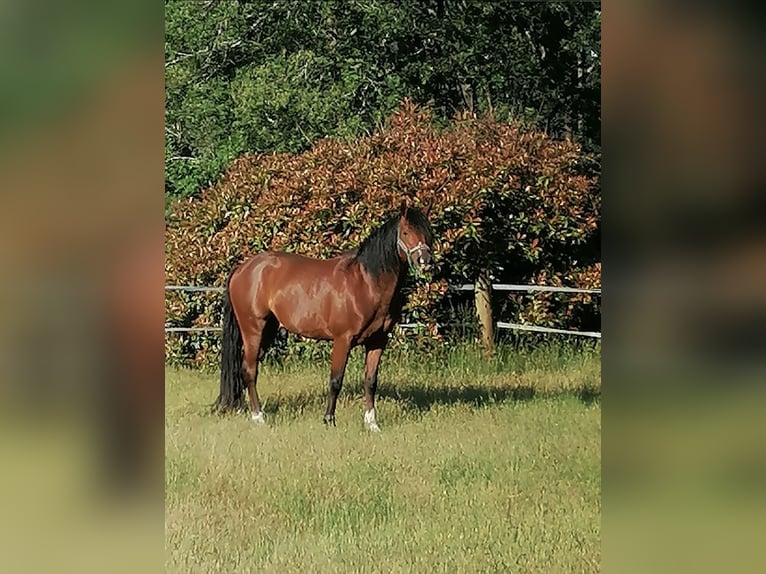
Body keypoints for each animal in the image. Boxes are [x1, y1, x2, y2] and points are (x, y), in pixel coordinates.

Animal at [213, 200, 434, 431]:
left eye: (428, 232)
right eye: (406, 232)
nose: (425, 261)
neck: (365, 283)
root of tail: (242, 268)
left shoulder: (377, 341)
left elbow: (371, 381)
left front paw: (372, 424)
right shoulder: (343, 340)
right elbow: (336, 381)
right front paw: (329, 419)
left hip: (268, 330)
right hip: (253, 330)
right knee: (250, 370)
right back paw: (258, 417)